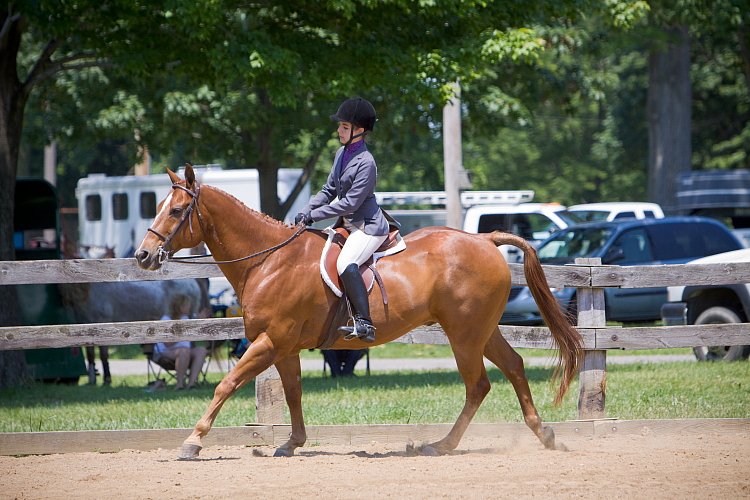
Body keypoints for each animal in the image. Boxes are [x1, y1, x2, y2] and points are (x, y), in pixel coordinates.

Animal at [59, 280, 210, 384]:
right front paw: (92, 379)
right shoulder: (85, 328)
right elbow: (90, 355)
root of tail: (192, 282)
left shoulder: (102, 323)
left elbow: (103, 355)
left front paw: (107, 379)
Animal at [135, 166, 584, 458]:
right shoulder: (284, 347)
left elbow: (225, 385)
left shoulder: (270, 341)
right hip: (480, 330)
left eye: (176, 211)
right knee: (513, 367)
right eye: (158, 206)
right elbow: (293, 392)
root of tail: (485, 239)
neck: (269, 260)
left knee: (479, 385)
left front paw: (193, 442)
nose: (143, 255)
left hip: (464, 335)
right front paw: (292, 443)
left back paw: (441, 445)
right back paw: (542, 435)